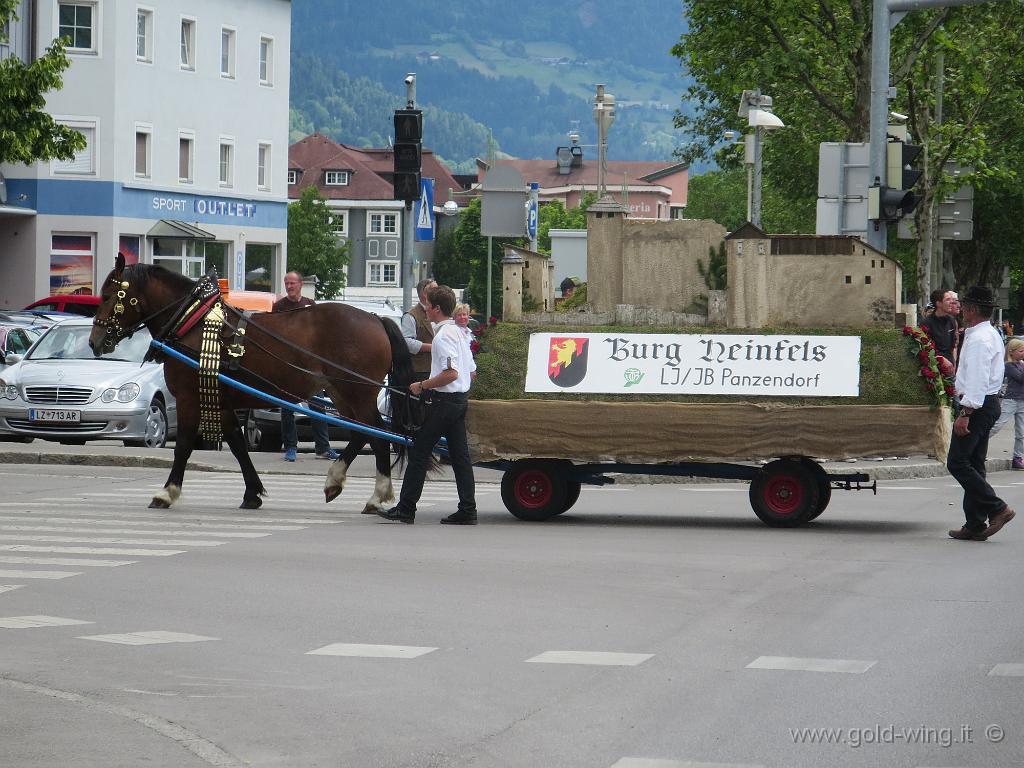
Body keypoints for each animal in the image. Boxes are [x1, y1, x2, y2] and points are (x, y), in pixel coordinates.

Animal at [88, 256, 413, 514]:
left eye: (108, 295)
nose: (94, 342)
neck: (193, 322)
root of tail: (375, 318)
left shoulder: (190, 398)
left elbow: (183, 446)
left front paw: (166, 492)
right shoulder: (218, 398)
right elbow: (237, 443)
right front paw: (252, 493)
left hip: (356, 392)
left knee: (378, 434)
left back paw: (375, 495)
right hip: (342, 394)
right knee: (364, 433)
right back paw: (338, 482)